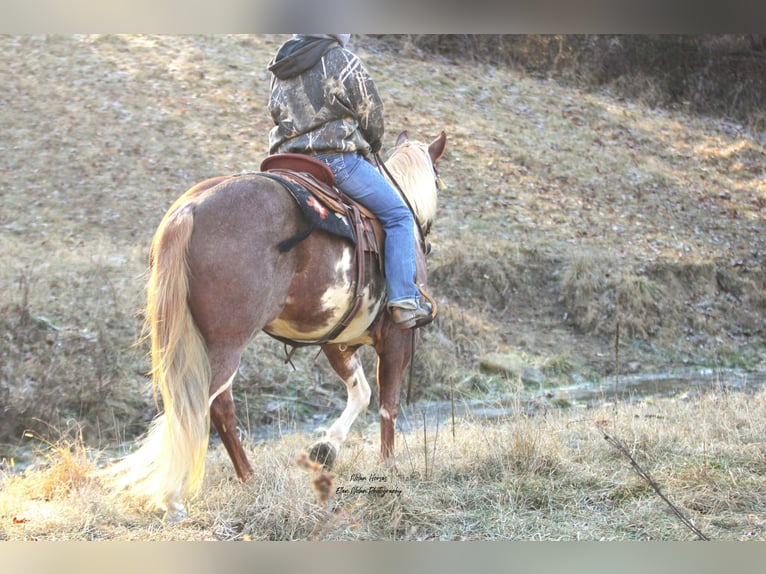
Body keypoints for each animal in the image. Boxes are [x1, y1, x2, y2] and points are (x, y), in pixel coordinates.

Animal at [102, 130, 450, 520]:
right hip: (226, 345)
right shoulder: (396, 338)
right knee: (206, 407)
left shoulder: (337, 343)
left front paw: (325, 449)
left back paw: (243, 479)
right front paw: (388, 469)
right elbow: (388, 405)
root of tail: (188, 210)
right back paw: (189, 493)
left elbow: (360, 393)